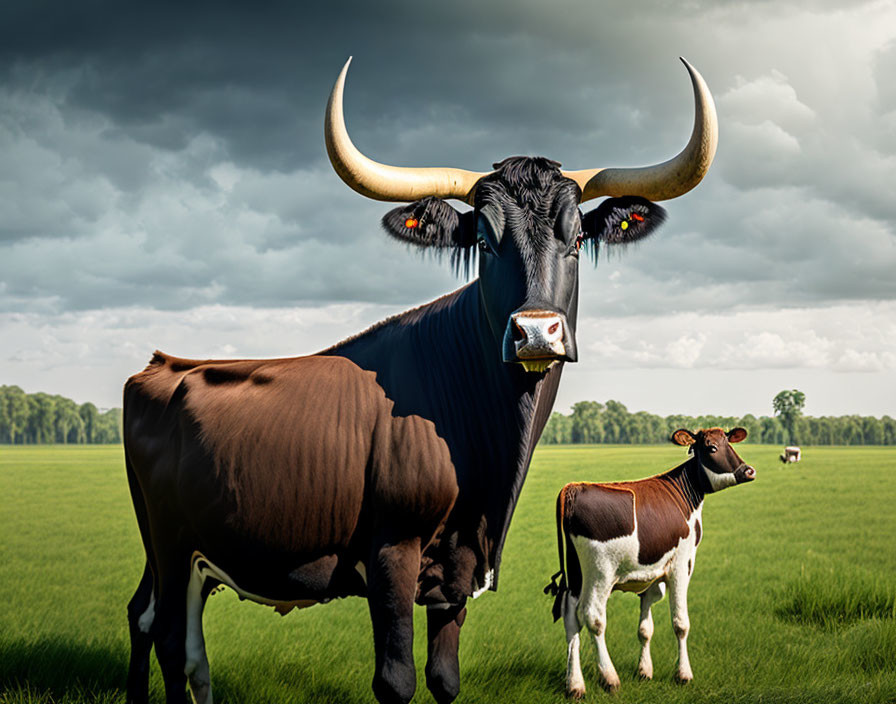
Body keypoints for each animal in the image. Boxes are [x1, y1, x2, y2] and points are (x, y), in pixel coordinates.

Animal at [122, 59, 716, 704]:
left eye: (577, 239)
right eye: (483, 240)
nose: (536, 333)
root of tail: (165, 364)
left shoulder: (458, 568)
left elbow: (444, 677)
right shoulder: (393, 552)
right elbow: (397, 678)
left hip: (184, 556)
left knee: (155, 624)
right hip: (171, 544)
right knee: (168, 636)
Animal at [544, 426, 756, 696]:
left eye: (729, 443)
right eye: (711, 447)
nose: (748, 470)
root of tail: (573, 487)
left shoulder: (651, 576)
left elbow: (645, 628)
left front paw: (645, 671)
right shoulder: (681, 565)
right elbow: (681, 623)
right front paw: (683, 674)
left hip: (575, 573)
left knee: (571, 619)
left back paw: (575, 685)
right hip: (599, 571)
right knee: (593, 617)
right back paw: (609, 678)